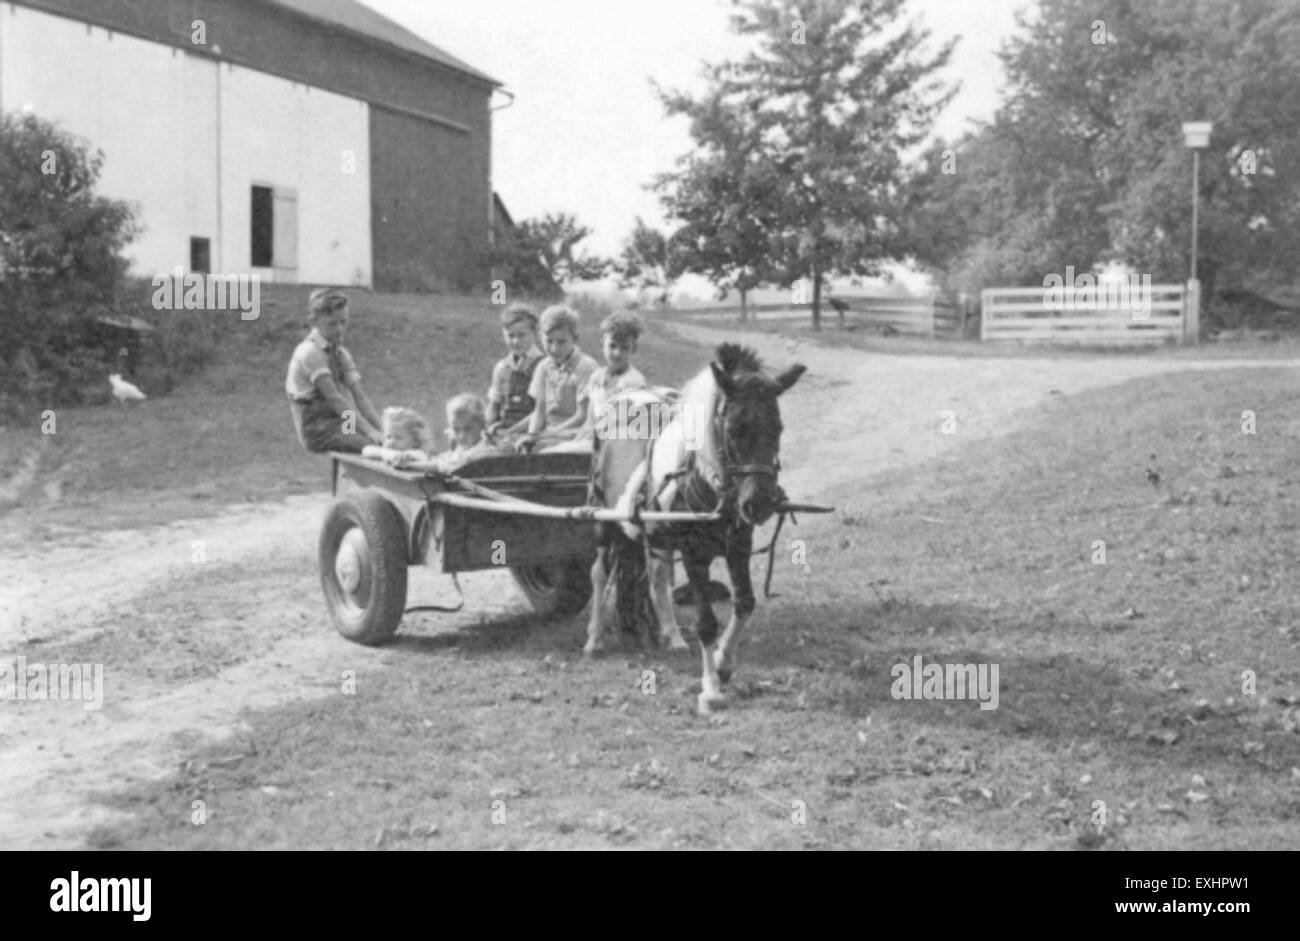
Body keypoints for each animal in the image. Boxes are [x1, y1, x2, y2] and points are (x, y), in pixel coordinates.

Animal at [587, 343, 800, 712]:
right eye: (734, 429)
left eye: (778, 428)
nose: (759, 504)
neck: (705, 482)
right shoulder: (693, 554)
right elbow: (706, 622)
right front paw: (711, 689)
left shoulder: (738, 546)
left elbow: (745, 603)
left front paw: (724, 663)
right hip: (603, 518)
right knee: (599, 574)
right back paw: (595, 638)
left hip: (655, 535)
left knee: (657, 580)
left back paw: (671, 636)